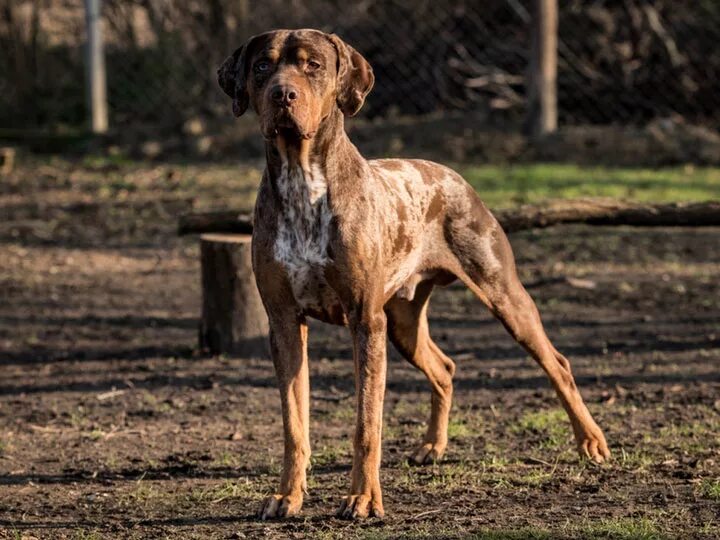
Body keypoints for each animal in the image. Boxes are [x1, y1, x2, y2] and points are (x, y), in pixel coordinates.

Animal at [217, 28, 612, 520]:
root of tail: (453, 175)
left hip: (502, 295)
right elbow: (294, 423)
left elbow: (367, 424)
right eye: (262, 67)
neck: (302, 178)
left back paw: (590, 441)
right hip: (403, 323)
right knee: (444, 367)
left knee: (557, 363)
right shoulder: (285, 321)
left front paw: (364, 498)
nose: (282, 94)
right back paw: (432, 446)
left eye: (313, 66)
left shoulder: (365, 321)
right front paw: (289, 495)